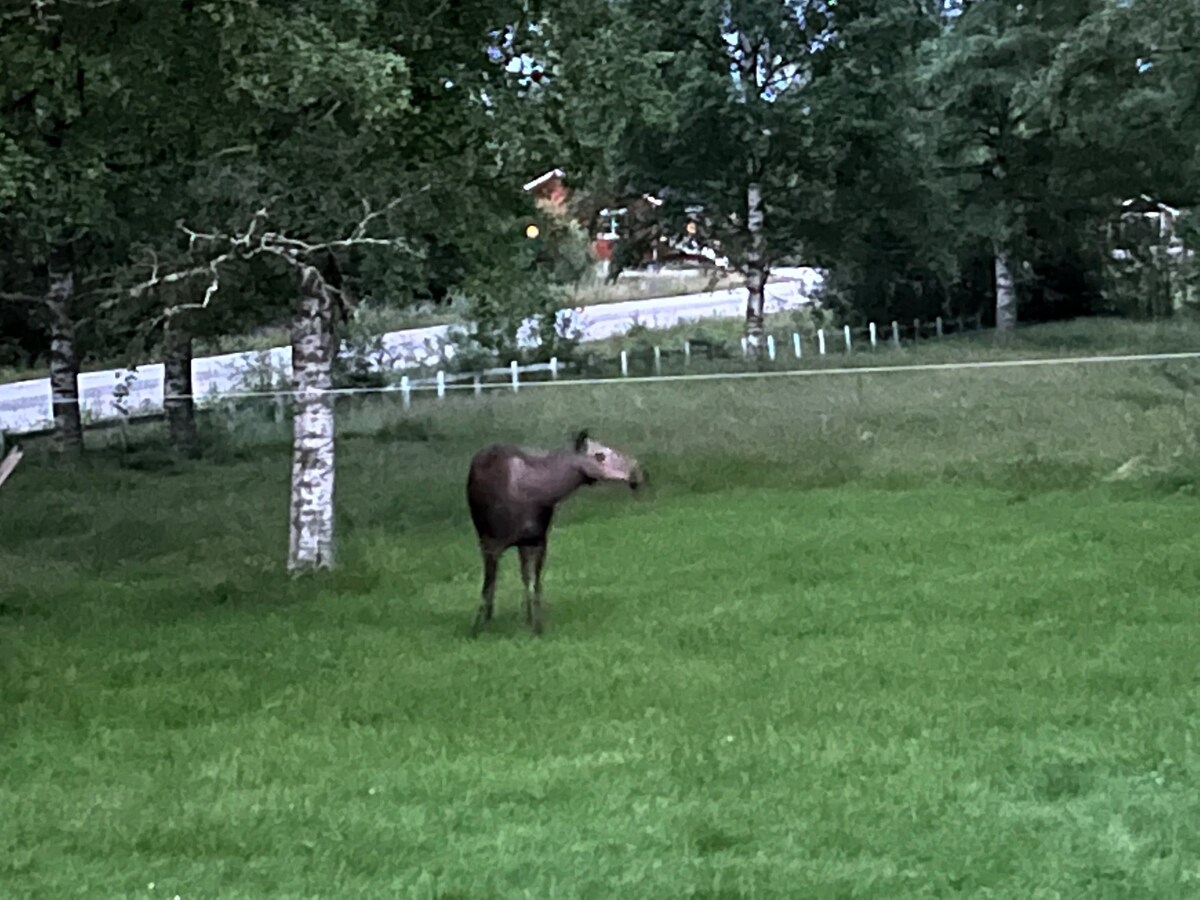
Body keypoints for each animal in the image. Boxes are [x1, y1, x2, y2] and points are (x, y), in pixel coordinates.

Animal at [463, 427, 648, 633]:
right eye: (599, 455)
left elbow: (535, 585)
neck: (543, 495)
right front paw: (477, 627)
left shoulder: (538, 540)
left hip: (521, 544)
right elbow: (487, 586)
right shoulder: (491, 543)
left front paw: (536, 625)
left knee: (524, 576)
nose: (637, 473)